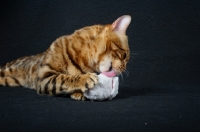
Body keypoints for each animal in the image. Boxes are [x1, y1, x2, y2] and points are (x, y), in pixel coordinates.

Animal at [0, 14, 131, 100]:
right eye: (124, 55)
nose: (124, 70)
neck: (84, 60)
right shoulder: (44, 78)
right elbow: (64, 78)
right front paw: (85, 78)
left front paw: (78, 93)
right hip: (7, 69)